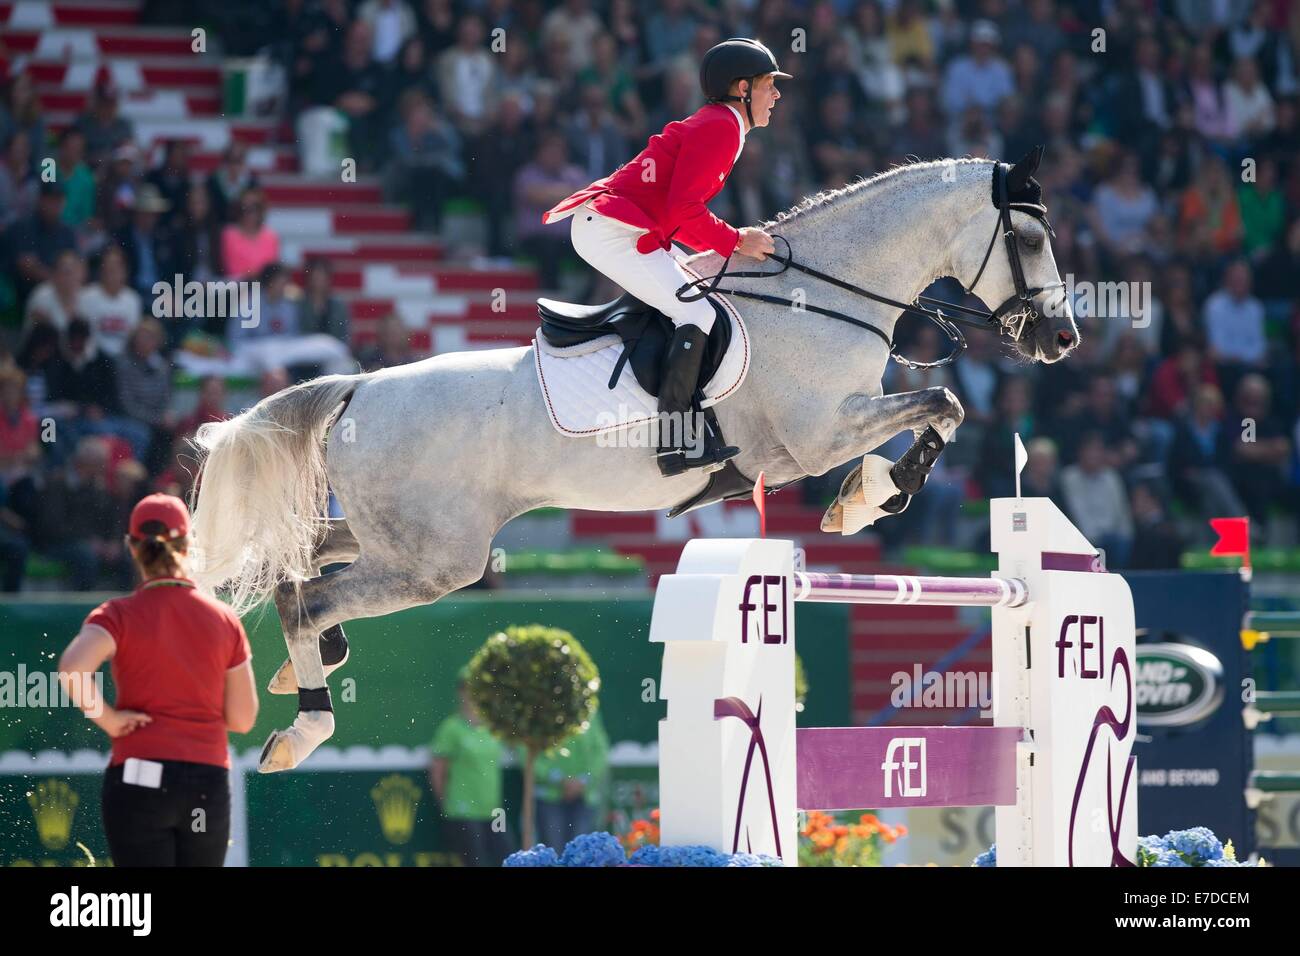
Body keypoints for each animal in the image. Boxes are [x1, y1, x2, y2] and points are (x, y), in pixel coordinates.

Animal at [189, 153, 1076, 775]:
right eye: (1031, 240)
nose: (1061, 339)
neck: (823, 297)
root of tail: (358, 389)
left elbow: (939, 408)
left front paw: (868, 495)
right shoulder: (819, 434)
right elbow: (943, 405)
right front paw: (869, 498)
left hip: (398, 537)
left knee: (301, 564)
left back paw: (305, 669)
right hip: (436, 560)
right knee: (310, 597)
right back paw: (303, 728)